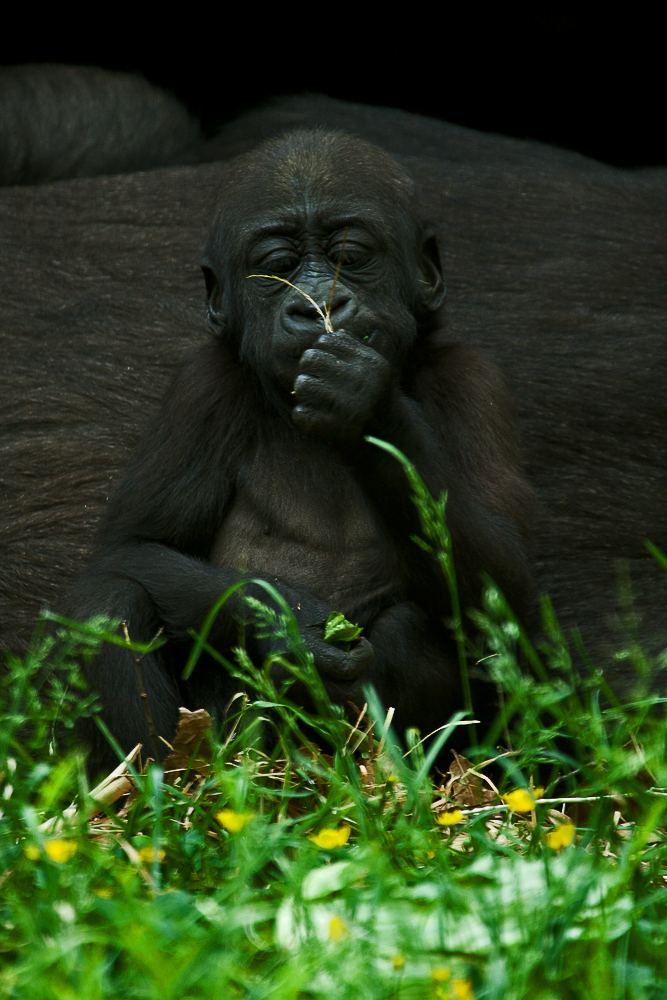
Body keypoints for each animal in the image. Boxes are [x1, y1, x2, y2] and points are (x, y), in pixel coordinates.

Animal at [60, 131, 536, 772]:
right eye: (277, 267)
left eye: (350, 255)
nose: (315, 305)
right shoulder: (201, 388)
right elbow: (131, 548)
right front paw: (290, 627)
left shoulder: (475, 382)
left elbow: (506, 589)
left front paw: (367, 402)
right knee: (107, 602)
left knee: (411, 633)